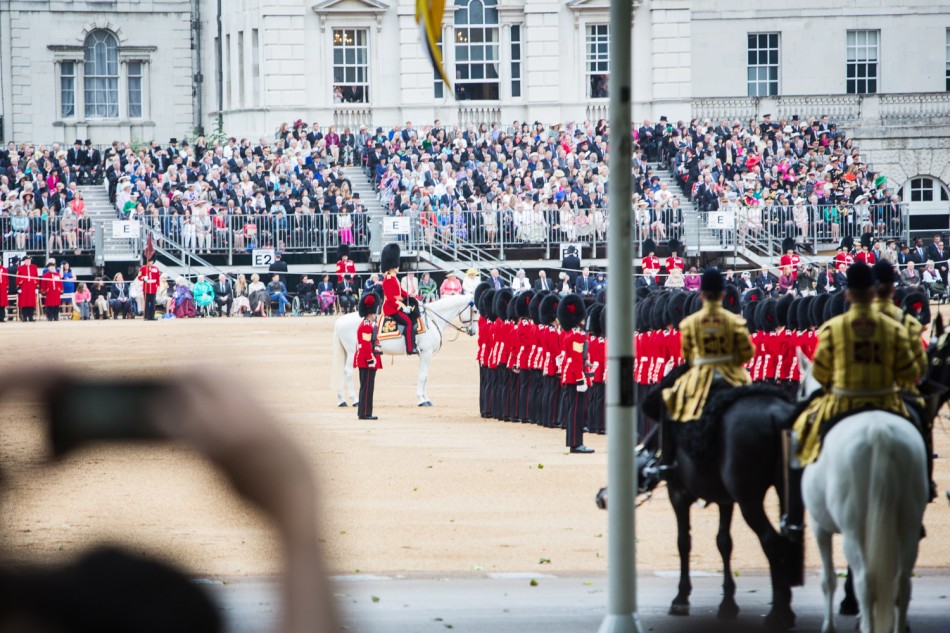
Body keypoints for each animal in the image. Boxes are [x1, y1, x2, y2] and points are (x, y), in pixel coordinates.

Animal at [334, 296, 480, 408]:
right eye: (476, 310)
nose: (473, 332)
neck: (432, 320)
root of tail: (341, 320)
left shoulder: (426, 355)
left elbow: (425, 376)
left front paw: (426, 399)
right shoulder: (426, 353)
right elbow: (422, 376)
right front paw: (421, 400)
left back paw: (342, 400)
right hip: (352, 352)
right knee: (348, 372)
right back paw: (355, 400)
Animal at [800, 354, 924, 632]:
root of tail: (880, 435)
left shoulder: (819, 526)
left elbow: (828, 578)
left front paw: (829, 625)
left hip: (853, 527)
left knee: (865, 581)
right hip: (908, 522)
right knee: (902, 582)